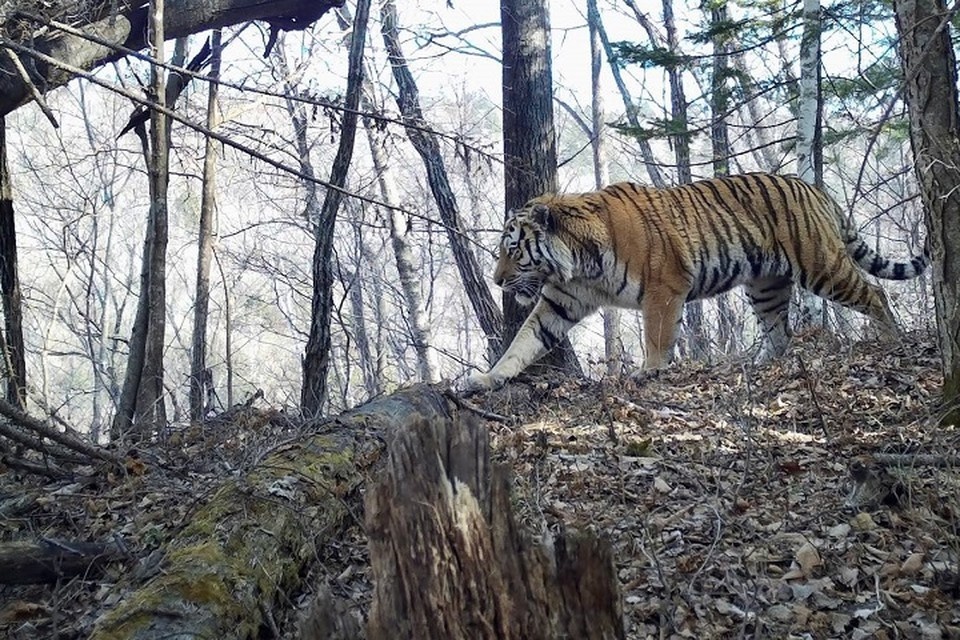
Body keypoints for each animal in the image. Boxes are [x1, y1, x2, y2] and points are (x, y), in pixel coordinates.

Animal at [463, 172, 928, 392]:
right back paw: (761, 366)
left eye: (513, 250)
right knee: (781, 333)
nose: (498, 280)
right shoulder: (560, 301)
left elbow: (656, 338)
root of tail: (811, 186)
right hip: (765, 287)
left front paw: (649, 373)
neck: (579, 263)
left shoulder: (664, 288)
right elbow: (523, 342)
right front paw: (485, 379)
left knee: (875, 292)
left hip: (821, 265)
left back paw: (892, 340)